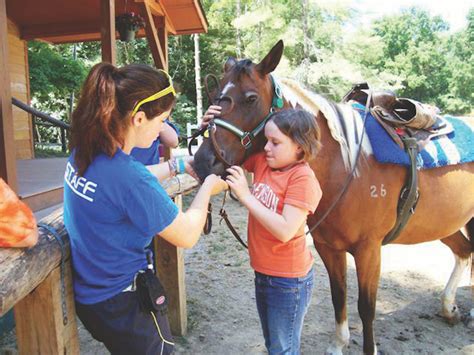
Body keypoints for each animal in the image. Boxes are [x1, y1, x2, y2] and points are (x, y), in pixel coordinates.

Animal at [193, 40, 474, 354]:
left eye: (251, 98)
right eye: (216, 95)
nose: (203, 162)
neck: (347, 167)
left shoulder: (368, 250)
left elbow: (366, 307)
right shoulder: (328, 247)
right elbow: (338, 295)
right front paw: (338, 344)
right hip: (445, 222)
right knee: (464, 251)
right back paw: (449, 307)